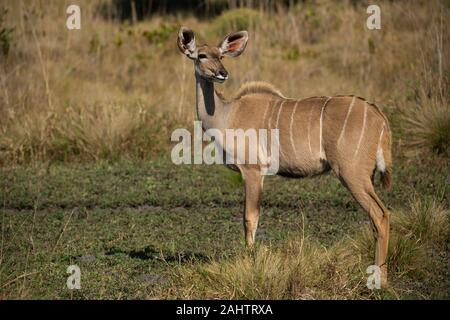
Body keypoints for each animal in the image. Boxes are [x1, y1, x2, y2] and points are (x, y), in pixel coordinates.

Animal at [178, 27, 392, 286]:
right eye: (201, 55)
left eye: (220, 55)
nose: (222, 73)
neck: (226, 114)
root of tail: (380, 118)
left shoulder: (252, 170)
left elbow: (249, 218)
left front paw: (251, 263)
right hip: (365, 176)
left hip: (351, 173)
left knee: (380, 215)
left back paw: (379, 281)